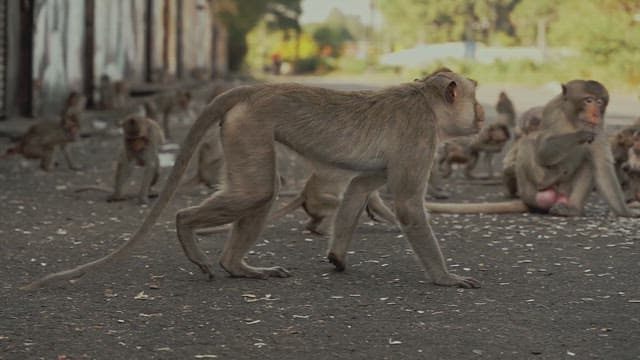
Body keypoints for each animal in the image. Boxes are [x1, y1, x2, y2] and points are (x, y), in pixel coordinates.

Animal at [25, 69, 484, 292]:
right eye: (475, 97)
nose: (481, 114)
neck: (426, 104)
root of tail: (251, 91)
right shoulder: (418, 138)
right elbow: (407, 205)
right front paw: (445, 278)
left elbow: (359, 188)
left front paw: (337, 256)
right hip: (250, 127)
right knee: (260, 191)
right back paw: (188, 227)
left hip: (240, 130)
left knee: (261, 193)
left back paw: (237, 266)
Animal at [422, 81, 636, 217]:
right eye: (588, 100)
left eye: (600, 102)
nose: (596, 113)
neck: (573, 120)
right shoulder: (553, 117)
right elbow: (543, 152)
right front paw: (580, 136)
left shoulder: (599, 128)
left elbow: (602, 166)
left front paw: (625, 213)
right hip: (534, 189)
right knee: (528, 144)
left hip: (564, 192)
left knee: (588, 164)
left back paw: (571, 209)